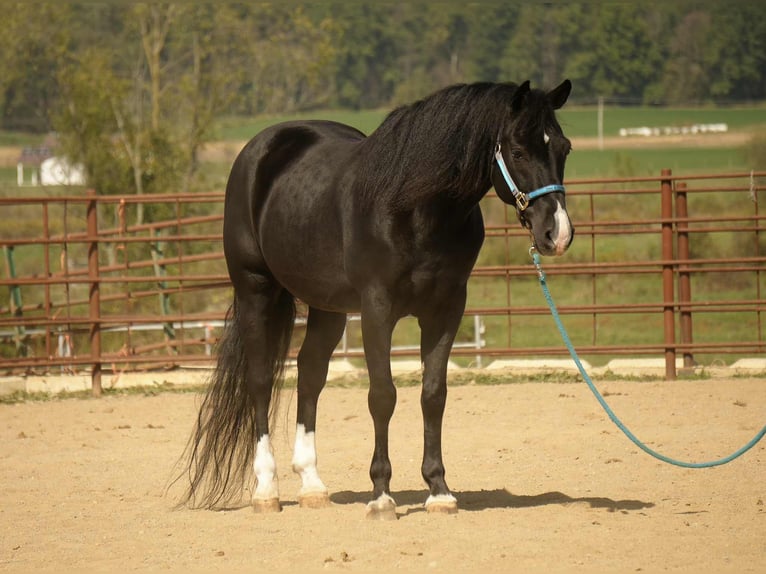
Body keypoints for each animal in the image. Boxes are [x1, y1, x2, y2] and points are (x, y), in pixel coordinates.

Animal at [179, 79, 574, 520]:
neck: (416, 209)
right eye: (518, 151)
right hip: (255, 289)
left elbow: (433, 395)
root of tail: (260, 148)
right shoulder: (377, 310)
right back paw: (266, 490)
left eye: (564, 148)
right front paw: (382, 495)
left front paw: (439, 491)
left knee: (310, 373)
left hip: (328, 307)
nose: (557, 233)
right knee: (262, 379)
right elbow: (382, 396)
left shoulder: (446, 310)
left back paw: (312, 485)